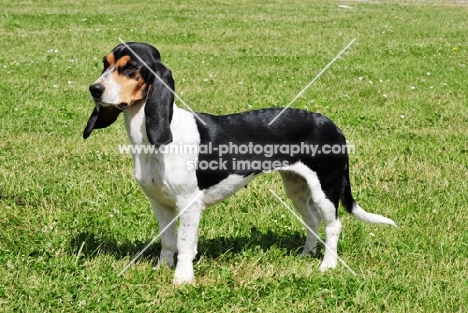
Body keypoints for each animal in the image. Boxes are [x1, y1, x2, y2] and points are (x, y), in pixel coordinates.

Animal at [83, 42, 394, 284]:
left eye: (130, 68)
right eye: (105, 64)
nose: (94, 89)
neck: (150, 139)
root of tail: (331, 124)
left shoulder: (189, 204)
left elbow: (185, 244)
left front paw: (182, 278)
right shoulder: (160, 204)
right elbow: (168, 241)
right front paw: (163, 268)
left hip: (325, 189)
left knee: (333, 226)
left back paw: (327, 265)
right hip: (296, 188)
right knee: (312, 221)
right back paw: (307, 254)